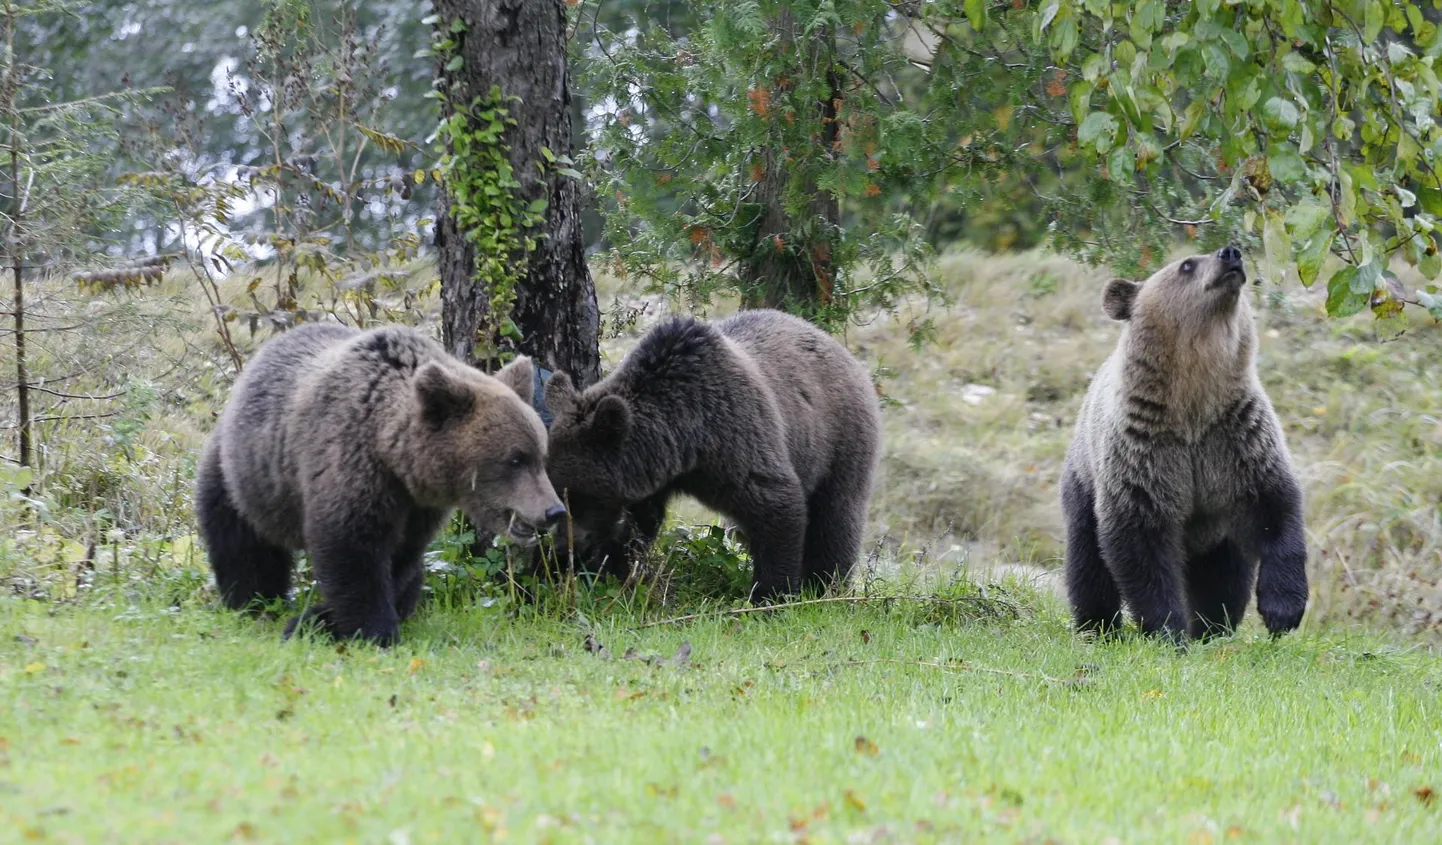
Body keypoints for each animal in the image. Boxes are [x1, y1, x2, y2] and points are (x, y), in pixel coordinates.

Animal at [194, 318, 565, 640]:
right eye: (515, 459)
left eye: (541, 455)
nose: (554, 511)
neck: (393, 454)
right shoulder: (350, 464)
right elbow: (353, 551)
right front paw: (371, 630)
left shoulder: (417, 507)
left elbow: (402, 558)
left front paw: (324, 618)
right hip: (246, 475)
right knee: (242, 545)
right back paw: (253, 599)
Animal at [542, 308, 876, 599]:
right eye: (553, 486)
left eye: (576, 494)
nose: (559, 548)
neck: (686, 442)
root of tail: (839, 348)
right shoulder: (652, 478)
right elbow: (637, 526)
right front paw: (613, 571)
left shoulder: (735, 438)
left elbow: (777, 505)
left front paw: (771, 594)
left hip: (841, 438)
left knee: (836, 517)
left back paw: (826, 584)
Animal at [1061, 246, 1309, 640]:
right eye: (1187, 264)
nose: (1230, 252)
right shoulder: (1144, 452)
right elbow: (1141, 544)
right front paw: (1167, 629)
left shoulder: (1237, 440)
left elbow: (1276, 510)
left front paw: (1282, 611)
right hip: (1085, 478)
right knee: (1087, 561)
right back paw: (1098, 625)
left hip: (1218, 531)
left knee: (1223, 574)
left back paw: (1212, 625)